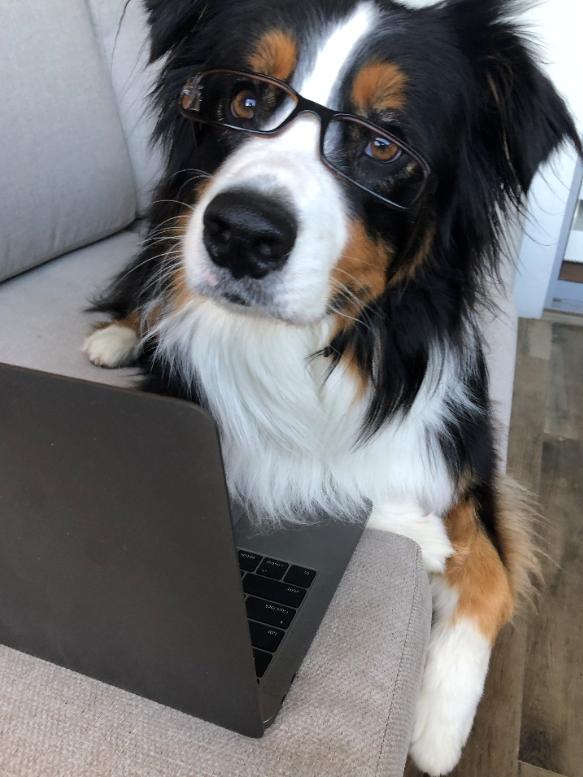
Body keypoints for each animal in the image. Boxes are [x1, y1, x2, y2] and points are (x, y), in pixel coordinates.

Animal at [84, 3, 580, 772]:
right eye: (246, 99)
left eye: (382, 145)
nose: (240, 234)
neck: (331, 344)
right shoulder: (193, 417)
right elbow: (292, 478)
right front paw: (419, 533)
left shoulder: (463, 446)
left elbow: (491, 569)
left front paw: (438, 726)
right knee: (148, 290)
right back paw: (113, 337)